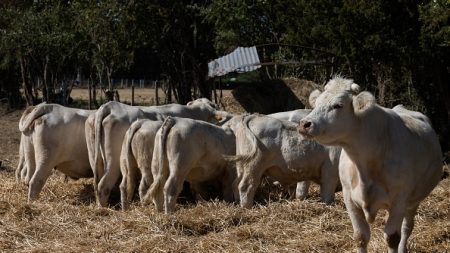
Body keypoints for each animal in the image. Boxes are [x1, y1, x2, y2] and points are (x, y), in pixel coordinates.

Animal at [298, 77, 442, 253]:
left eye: (338, 105)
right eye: (317, 103)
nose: (304, 123)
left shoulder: (399, 199)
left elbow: (392, 238)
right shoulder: (349, 197)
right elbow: (360, 236)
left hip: (413, 201)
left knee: (406, 228)